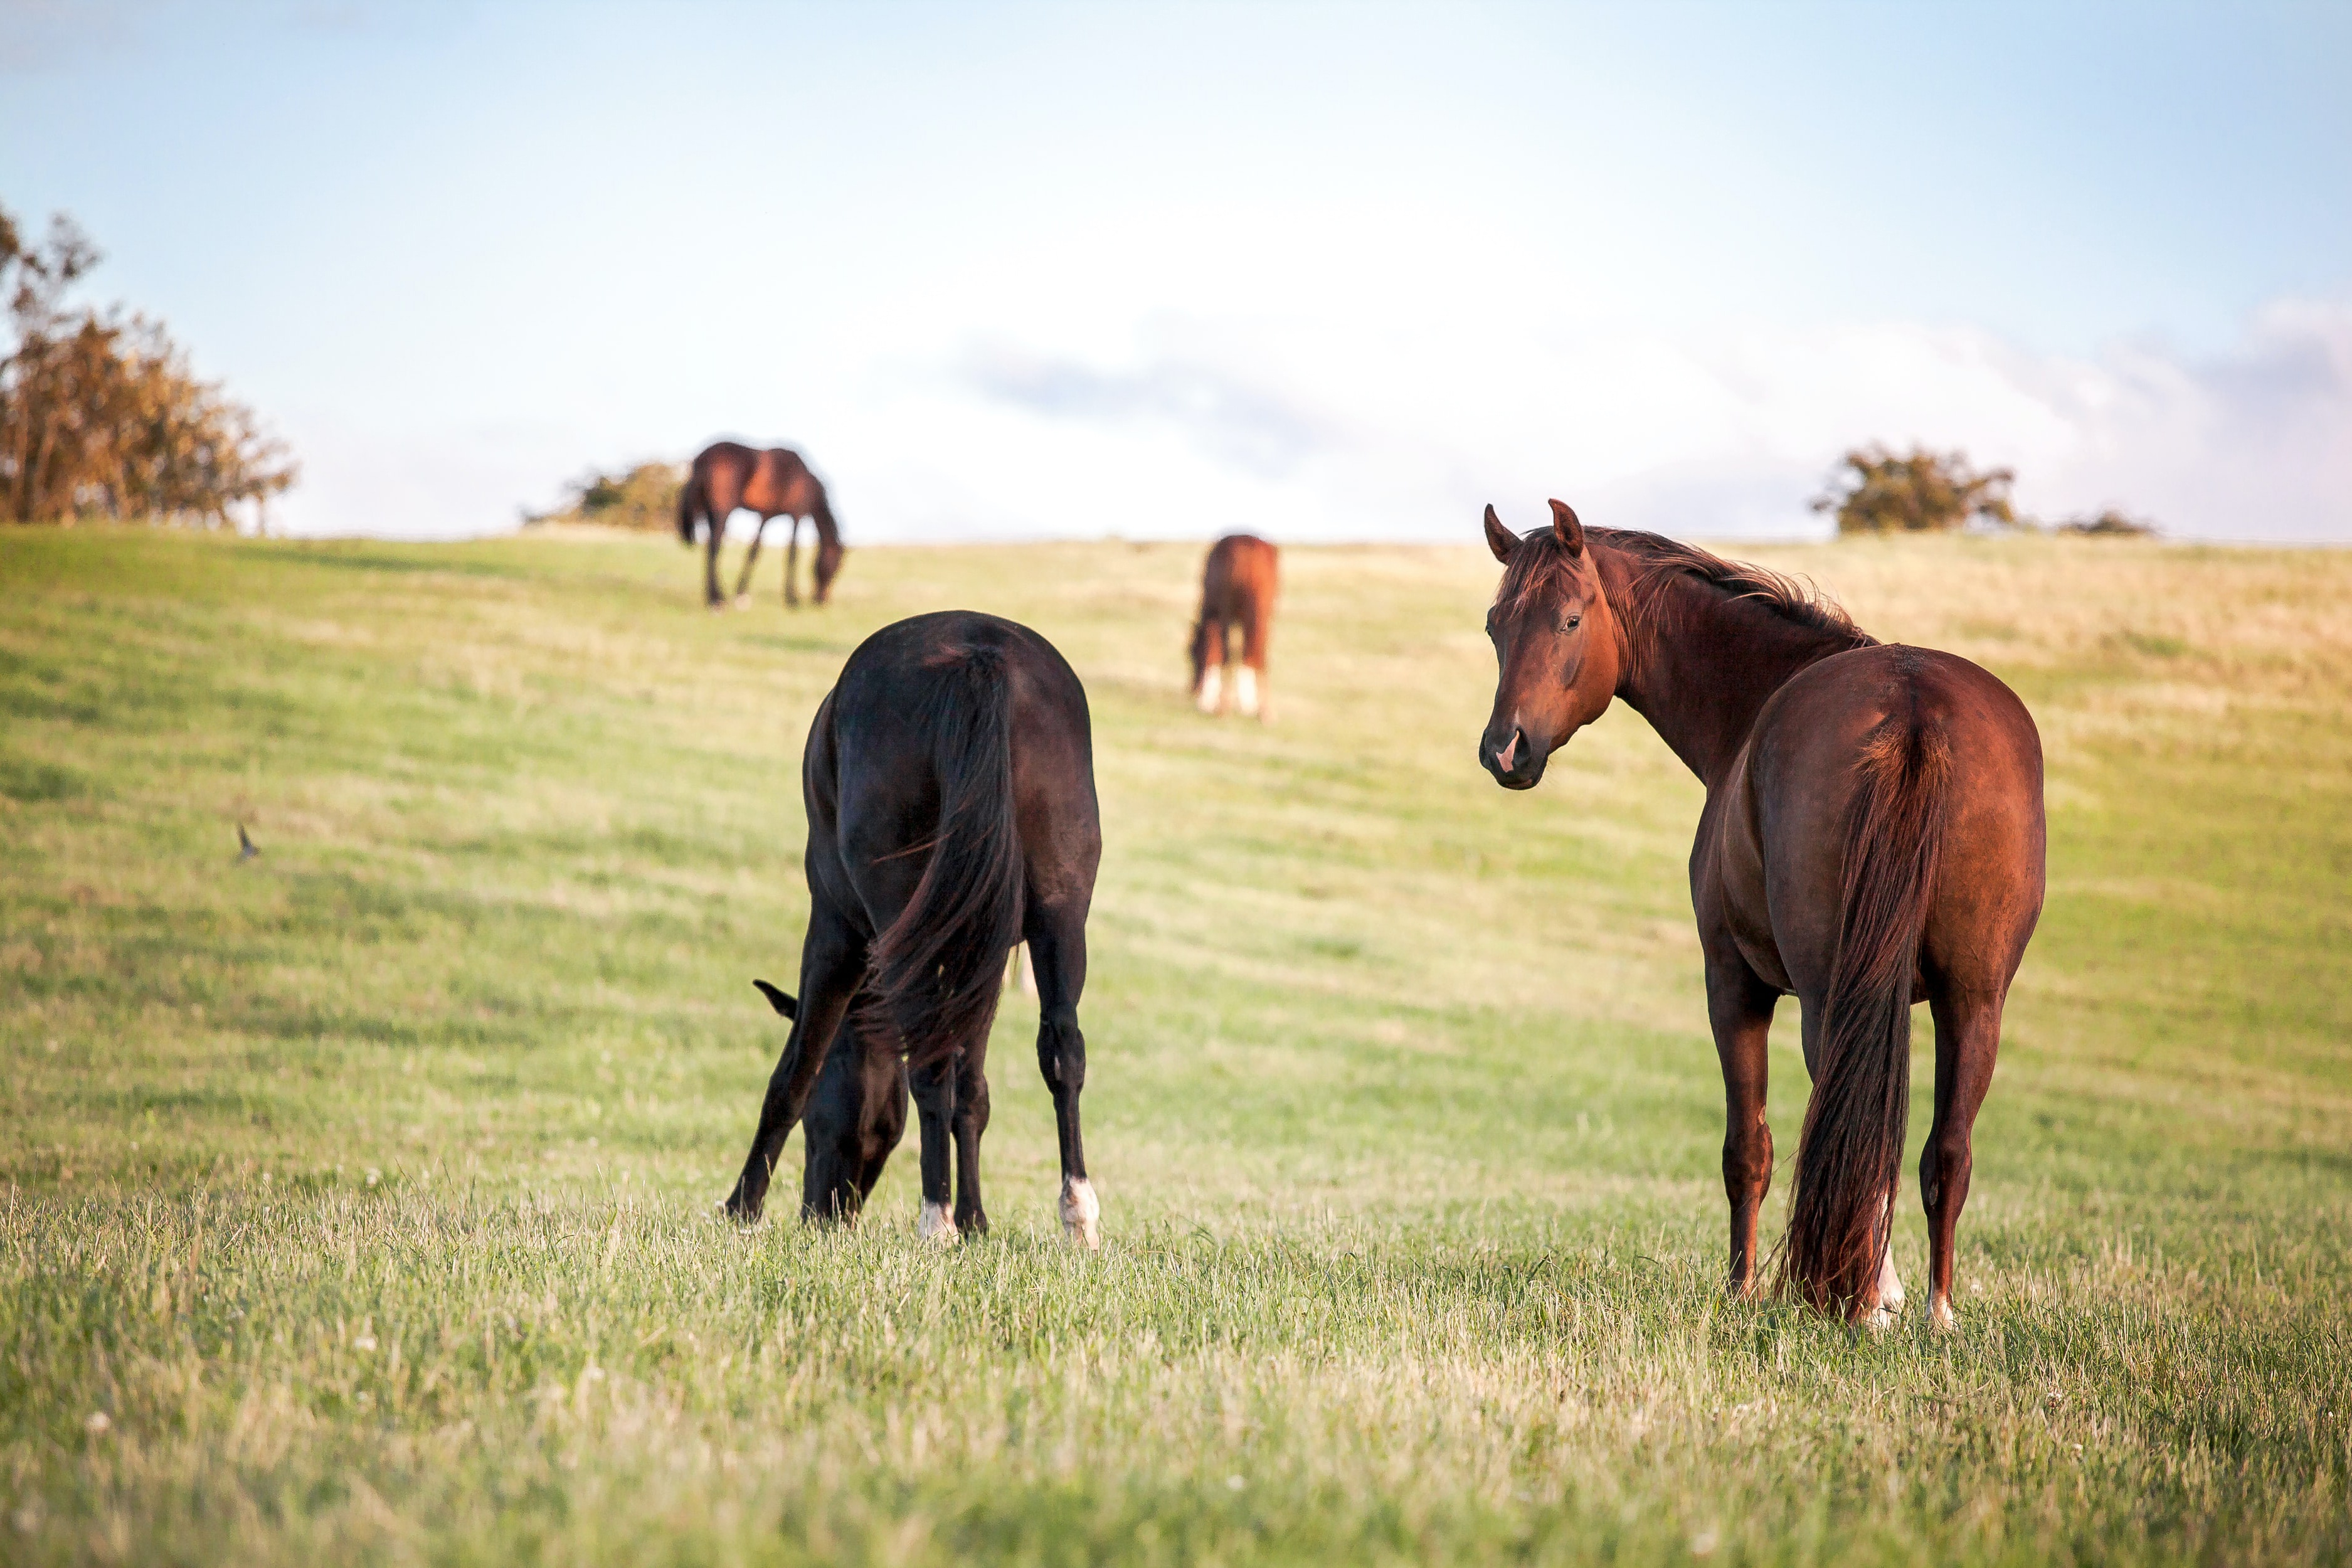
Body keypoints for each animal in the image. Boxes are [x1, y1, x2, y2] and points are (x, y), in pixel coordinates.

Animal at [672, 447, 847, 611]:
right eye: (835, 567)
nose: (822, 600)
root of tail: (703, 459)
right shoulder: (797, 515)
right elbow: (792, 554)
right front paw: (792, 600)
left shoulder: (766, 516)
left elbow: (754, 552)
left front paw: (741, 595)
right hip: (722, 511)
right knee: (714, 548)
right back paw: (716, 600)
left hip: (710, 513)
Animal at [719, 607, 1105, 1241]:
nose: (823, 1214)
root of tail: (979, 655)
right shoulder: (984, 957)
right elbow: (973, 1092)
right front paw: (976, 1222)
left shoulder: (835, 934)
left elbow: (795, 1070)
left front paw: (742, 1207)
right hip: (1060, 913)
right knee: (1062, 1050)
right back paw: (1076, 1215)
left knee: (926, 1063)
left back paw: (935, 1219)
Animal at [1195, 531, 1289, 719]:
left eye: (1192, 655)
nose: (1192, 690)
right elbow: (1245, 652)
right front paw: (1248, 705)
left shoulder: (1218, 617)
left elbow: (1217, 652)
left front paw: (1209, 704)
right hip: (1262, 613)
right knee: (1259, 653)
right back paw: (1266, 713)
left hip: (1228, 613)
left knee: (1228, 654)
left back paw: (1224, 708)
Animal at [1477, 501, 2051, 1325]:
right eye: (1496, 625)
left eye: (1570, 620)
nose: (1505, 750)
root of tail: (1914, 708)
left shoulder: (1732, 982)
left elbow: (1748, 1150)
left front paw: (1744, 1288)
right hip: (1975, 1000)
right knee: (1946, 1149)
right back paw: (1934, 1311)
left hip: (1828, 994)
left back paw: (1862, 1300)